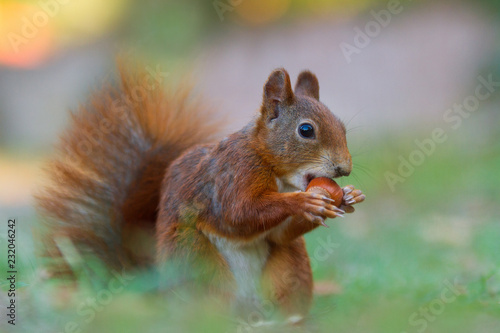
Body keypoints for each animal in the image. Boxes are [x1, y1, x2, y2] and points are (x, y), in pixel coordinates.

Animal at [35, 64, 364, 322]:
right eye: (306, 130)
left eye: (342, 127)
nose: (344, 169)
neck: (275, 170)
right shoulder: (232, 174)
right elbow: (237, 214)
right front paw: (304, 201)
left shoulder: (278, 230)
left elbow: (280, 234)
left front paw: (349, 196)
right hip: (196, 261)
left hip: (289, 270)